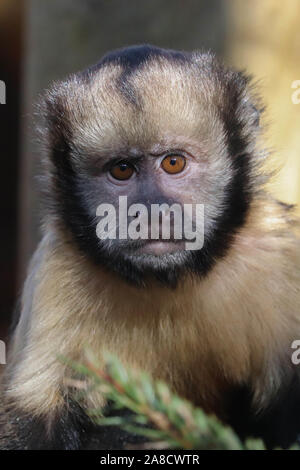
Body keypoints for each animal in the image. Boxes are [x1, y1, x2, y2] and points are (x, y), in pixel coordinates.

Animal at [0, 45, 300, 452]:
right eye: (122, 170)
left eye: (173, 162)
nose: (151, 210)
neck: (173, 278)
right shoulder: (58, 266)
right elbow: (34, 424)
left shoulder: (280, 257)